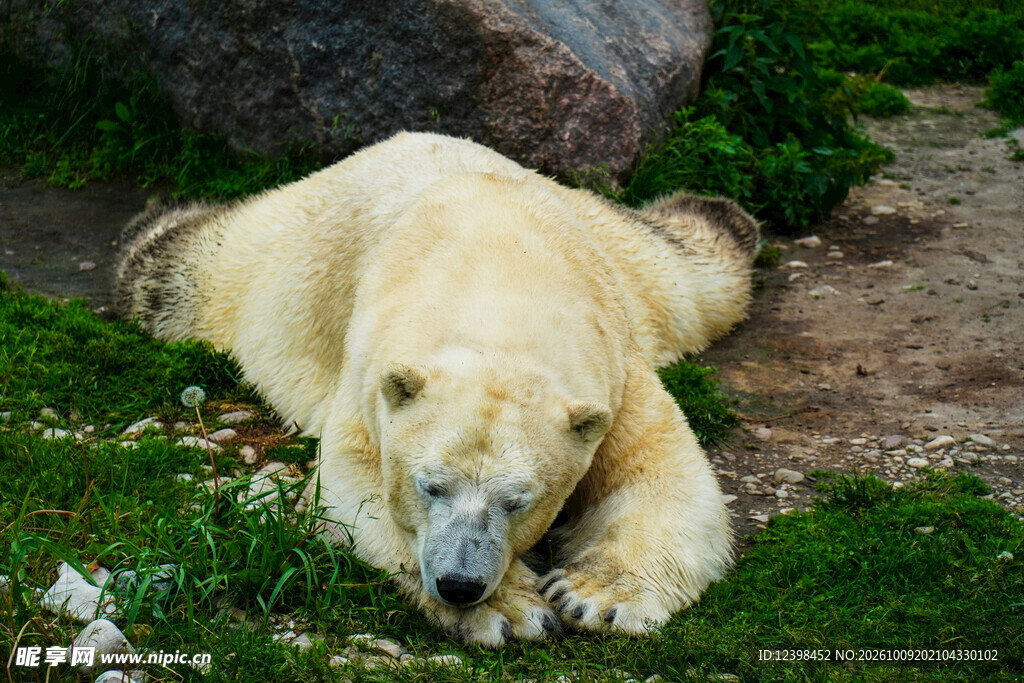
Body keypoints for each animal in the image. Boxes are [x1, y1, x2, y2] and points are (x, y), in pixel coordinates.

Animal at [116, 132, 758, 646]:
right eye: (430, 486)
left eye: (517, 501)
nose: (458, 584)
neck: (502, 274)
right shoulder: (369, 375)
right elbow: (354, 492)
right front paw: (511, 611)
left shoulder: (615, 367)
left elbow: (664, 474)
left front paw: (592, 596)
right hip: (276, 258)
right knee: (181, 272)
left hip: (624, 254)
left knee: (695, 270)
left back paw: (717, 213)